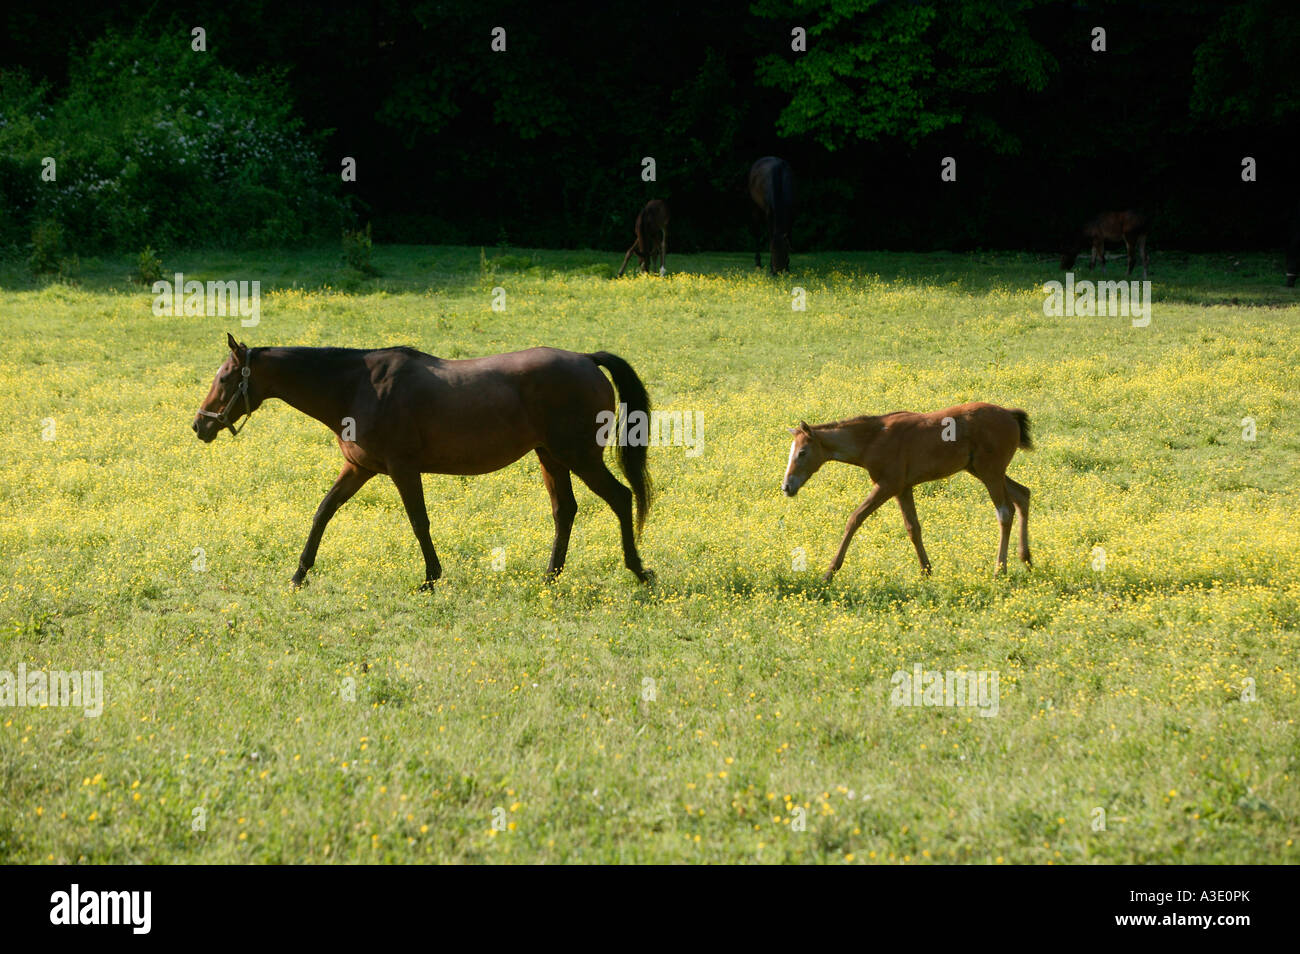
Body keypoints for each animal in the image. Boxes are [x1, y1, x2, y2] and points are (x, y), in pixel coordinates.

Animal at [193, 334, 654, 588]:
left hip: (579, 455)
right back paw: (550, 576)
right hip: (551, 457)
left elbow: (419, 522)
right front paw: (299, 574)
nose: (200, 424)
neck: (357, 386)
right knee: (565, 510)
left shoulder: (402, 469)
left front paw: (431, 577)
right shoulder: (359, 469)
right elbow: (323, 512)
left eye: (225, 378)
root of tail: (586, 359)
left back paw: (637, 569)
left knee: (620, 497)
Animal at [781, 403, 1034, 581]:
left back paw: (1000, 570)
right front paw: (926, 571)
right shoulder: (903, 488)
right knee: (1023, 495)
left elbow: (854, 519)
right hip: (984, 471)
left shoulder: (887, 485)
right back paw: (1027, 559)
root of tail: (1009, 415)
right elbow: (913, 528)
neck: (872, 439)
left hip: (990, 472)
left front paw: (829, 573)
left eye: (802, 452)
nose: (787, 487)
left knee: (1005, 511)